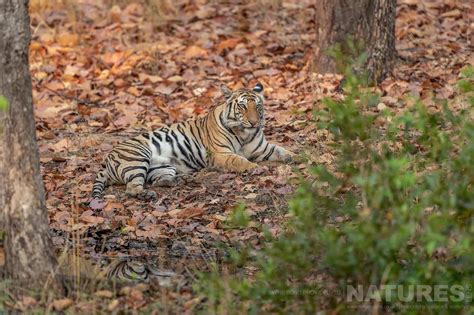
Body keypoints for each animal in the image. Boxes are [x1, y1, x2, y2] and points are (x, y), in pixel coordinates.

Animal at [90, 83, 294, 200]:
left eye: (257, 106)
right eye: (242, 106)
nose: (254, 122)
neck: (245, 133)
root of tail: (107, 159)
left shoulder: (263, 148)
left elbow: (282, 150)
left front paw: (297, 157)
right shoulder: (220, 153)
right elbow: (239, 160)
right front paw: (254, 168)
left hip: (162, 167)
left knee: (160, 180)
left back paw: (184, 180)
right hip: (137, 157)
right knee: (132, 189)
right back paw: (147, 194)